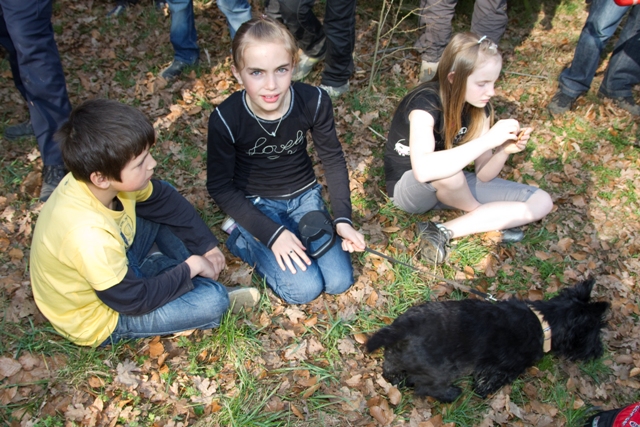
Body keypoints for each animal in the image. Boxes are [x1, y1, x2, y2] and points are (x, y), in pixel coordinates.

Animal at [368, 280, 608, 402]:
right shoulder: (502, 369)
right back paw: (452, 394)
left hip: (395, 354)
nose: (599, 353)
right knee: (426, 388)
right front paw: (483, 393)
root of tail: (404, 327)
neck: (545, 322)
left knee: (390, 369)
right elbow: (488, 383)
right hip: (441, 371)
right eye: (597, 331)